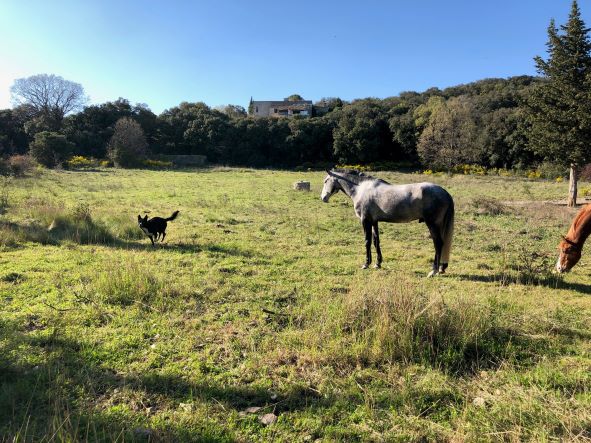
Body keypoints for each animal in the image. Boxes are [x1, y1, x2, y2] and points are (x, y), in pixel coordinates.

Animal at [322, 170, 456, 278]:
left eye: (326, 181)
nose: (323, 198)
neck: (361, 189)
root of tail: (445, 193)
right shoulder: (374, 221)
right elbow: (376, 241)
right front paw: (377, 263)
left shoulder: (365, 221)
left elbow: (367, 242)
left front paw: (366, 264)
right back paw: (441, 268)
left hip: (433, 224)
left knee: (438, 243)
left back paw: (433, 271)